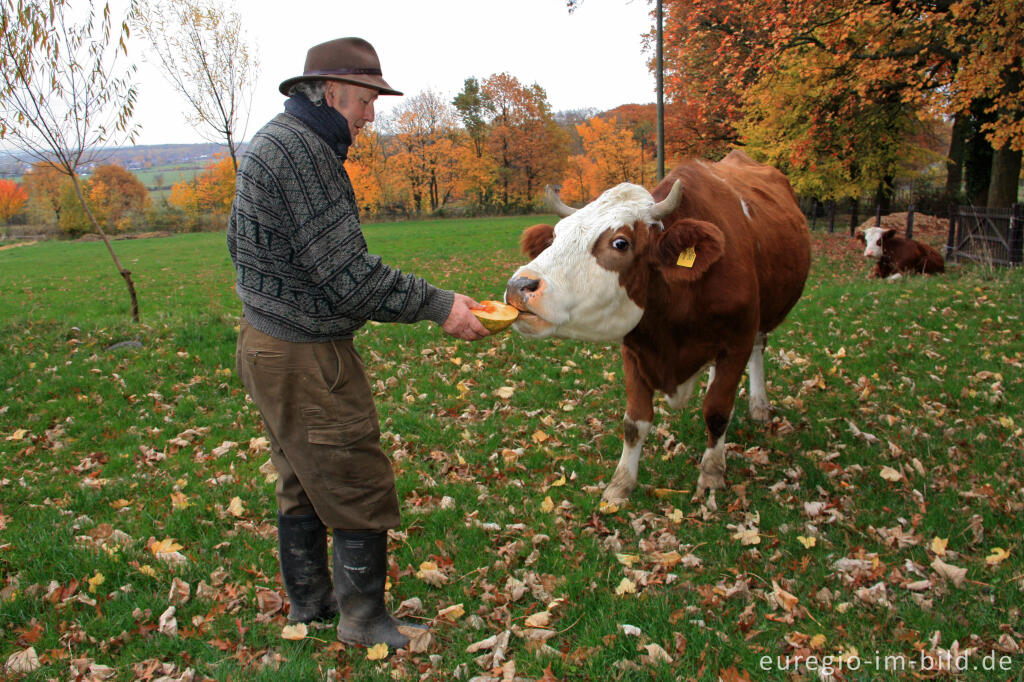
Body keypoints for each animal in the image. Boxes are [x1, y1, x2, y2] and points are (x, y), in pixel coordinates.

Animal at [503, 150, 806, 499]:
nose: (519, 285)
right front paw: (621, 483)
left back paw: (758, 404)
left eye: (620, 243)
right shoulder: (635, 348)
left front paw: (712, 473)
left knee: (758, 347)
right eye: (555, 236)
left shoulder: (737, 340)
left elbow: (717, 412)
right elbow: (635, 421)